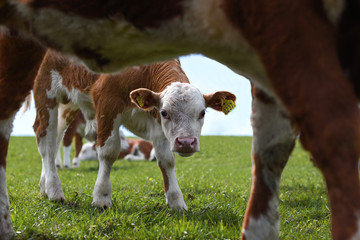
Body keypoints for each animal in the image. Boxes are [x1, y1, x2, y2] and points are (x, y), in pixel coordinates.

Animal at [32, 50, 236, 214]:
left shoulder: (158, 124)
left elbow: (167, 161)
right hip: (46, 91)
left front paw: (176, 201)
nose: (186, 142)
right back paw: (54, 190)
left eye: (202, 113)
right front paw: (101, 197)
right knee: (45, 140)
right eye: (165, 112)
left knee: (55, 139)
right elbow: (108, 153)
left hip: (69, 106)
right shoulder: (107, 103)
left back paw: (44, 185)